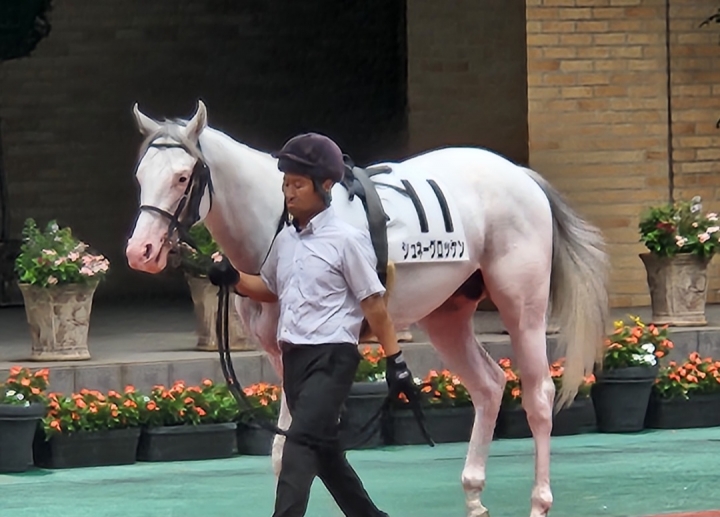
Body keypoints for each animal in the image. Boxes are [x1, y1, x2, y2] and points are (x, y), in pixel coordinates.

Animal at [125, 100, 609, 517]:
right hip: (446, 315)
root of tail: (522, 176)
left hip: (522, 305)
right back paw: (474, 496)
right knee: (489, 385)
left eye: (183, 177)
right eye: (141, 175)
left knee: (538, 396)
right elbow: (289, 452)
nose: (140, 251)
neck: (280, 224)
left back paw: (539, 502)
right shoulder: (283, 355)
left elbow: (297, 449)